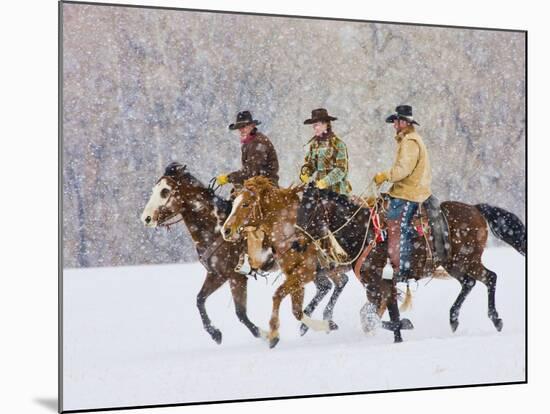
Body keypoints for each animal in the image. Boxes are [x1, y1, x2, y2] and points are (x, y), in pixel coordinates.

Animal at [141, 163, 272, 344]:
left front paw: (266, 335)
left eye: (165, 191)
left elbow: (240, 313)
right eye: (155, 189)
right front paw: (214, 333)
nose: (146, 218)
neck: (216, 229)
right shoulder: (217, 275)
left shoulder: (236, 277)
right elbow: (200, 299)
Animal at [221, 176, 348, 348]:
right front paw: (327, 325)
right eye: (234, 203)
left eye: (245, 204)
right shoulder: (294, 275)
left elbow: (277, 295)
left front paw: (273, 333)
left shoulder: (305, 273)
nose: (226, 230)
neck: (290, 232)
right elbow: (297, 311)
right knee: (340, 282)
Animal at [296, 184, 528, 342]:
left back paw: (495, 319)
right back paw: (453, 319)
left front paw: (403, 326)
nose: (296, 243)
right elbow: (375, 315)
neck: (364, 232)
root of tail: (475, 208)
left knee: (490, 277)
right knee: (469, 283)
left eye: (309, 209)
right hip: (454, 264)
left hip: (468, 260)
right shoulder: (378, 286)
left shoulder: (380, 284)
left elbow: (374, 317)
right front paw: (398, 335)